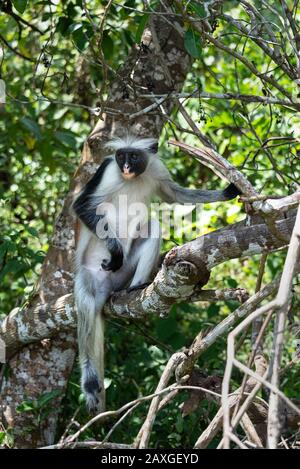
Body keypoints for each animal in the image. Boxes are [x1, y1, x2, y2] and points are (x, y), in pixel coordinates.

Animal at [72, 134, 239, 410]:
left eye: (134, 157)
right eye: (121, 156)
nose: (126, 167)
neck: (131, 179)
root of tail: (110, 286)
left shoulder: (155, 169)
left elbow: (175, 195)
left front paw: (228, 191)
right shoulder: (106, 170)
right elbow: (81, 205)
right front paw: (115, 251)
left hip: (125, 274)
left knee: (153, 225)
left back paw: (138, 287)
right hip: (88, 275)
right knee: (85, 304)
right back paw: (90, 381)